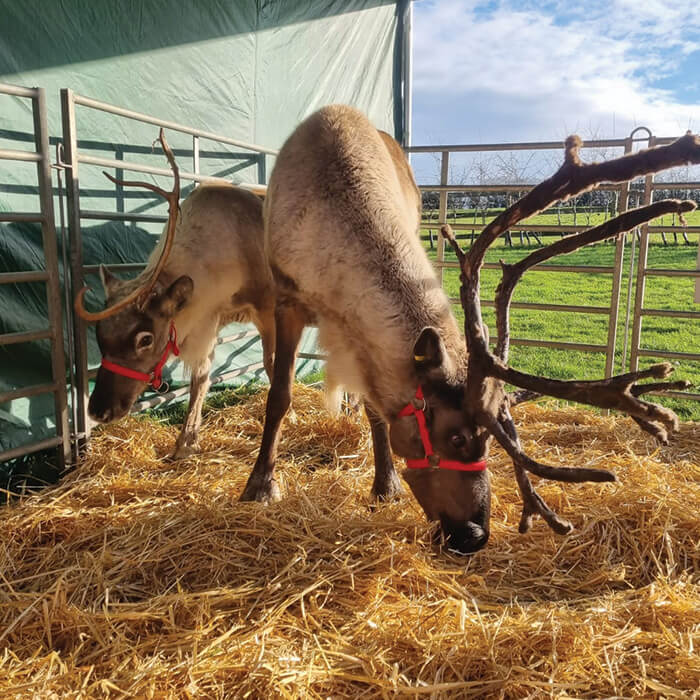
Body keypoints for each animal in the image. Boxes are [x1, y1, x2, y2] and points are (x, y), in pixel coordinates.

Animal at [74, 130, 276, 459]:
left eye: (145, 339)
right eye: (99, 334)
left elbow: (271, 365)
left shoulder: (267, 308)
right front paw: (186, 442)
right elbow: (201, 377)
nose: (98, 410)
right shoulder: (209, 318)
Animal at [241, 104, 698, 554]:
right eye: (457, 438)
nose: (475, 535)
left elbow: (376, 410)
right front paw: (260, 486)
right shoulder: (285, 299)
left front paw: (385, 486)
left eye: (489, 439)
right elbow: (279, 396)